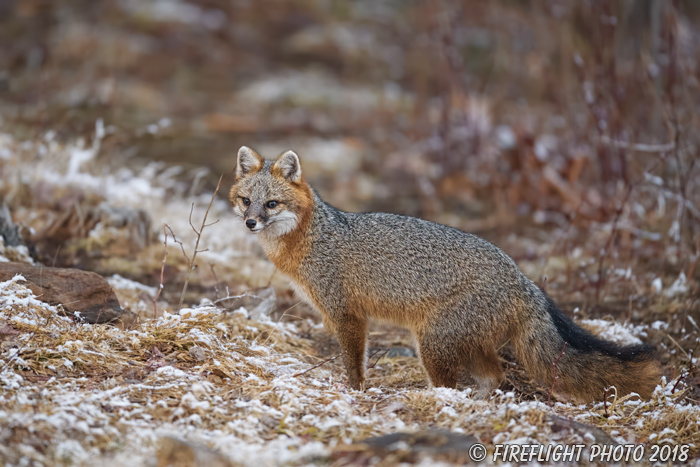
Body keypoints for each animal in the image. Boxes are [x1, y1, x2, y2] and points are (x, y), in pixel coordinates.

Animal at [231, 146, 660, 402]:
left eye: (272, 204)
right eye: (245, 200)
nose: (251, 223)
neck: (311, 237)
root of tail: (523, 280)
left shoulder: (347, 315)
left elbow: (354, 364)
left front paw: (354, 392)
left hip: (433, 345)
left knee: (460, 382)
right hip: (460, 344)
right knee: (495, 375)